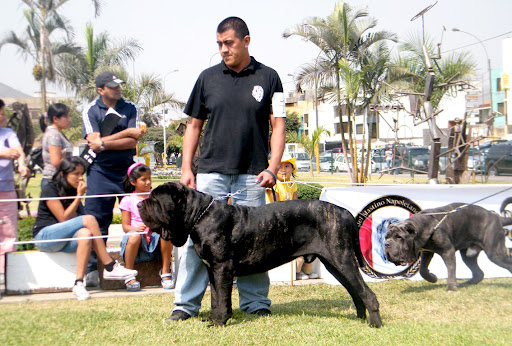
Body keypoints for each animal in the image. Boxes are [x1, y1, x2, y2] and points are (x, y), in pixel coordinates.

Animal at [138, 181, 382, 328]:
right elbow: (216, 297)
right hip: (335, 264)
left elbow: (221, 298)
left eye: (155, 200)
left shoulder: (221, 268)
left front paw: (218, 322)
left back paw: (374, 323)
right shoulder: (212, 269)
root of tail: (345, 212)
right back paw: (360, 318)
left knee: (366, 293)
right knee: (356, 291)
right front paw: (215, 318)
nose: (140, 204)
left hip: (341, 260)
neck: (201, 216)